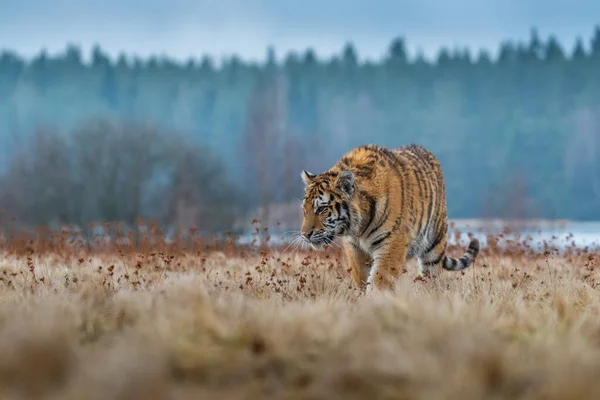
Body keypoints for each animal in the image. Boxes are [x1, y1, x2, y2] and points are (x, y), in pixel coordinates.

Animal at [302, 144, 480, 294]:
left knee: (430, 276)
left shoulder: (392, 244)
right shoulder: (354, 247)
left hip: (434, 245)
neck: (359, 227)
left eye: (322, 209)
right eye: (305, 209)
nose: (305, 235)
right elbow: (360, 276)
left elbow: (379, 281)